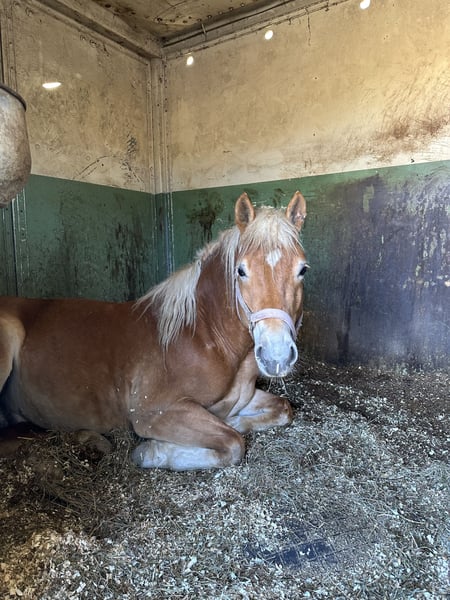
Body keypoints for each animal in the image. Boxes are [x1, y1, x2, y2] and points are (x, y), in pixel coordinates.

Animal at [0, 191, 308, 470]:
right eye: (241, 271)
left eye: (302, 269)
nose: (276, 355)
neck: (204, 336)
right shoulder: (154, 412)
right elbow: (232, 443)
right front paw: (151, 451)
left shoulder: (245, 397)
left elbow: (283, 408)